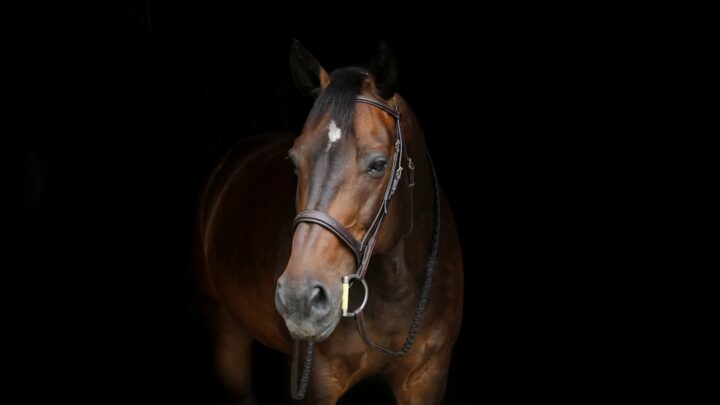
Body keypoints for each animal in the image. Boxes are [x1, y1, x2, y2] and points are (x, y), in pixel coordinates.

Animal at [195, 40, 464, 404]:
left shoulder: (427, 378)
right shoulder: (319, 381)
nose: (299, 297)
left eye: (379, 164)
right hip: (226, 330)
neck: (397, 287)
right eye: (294, 161)